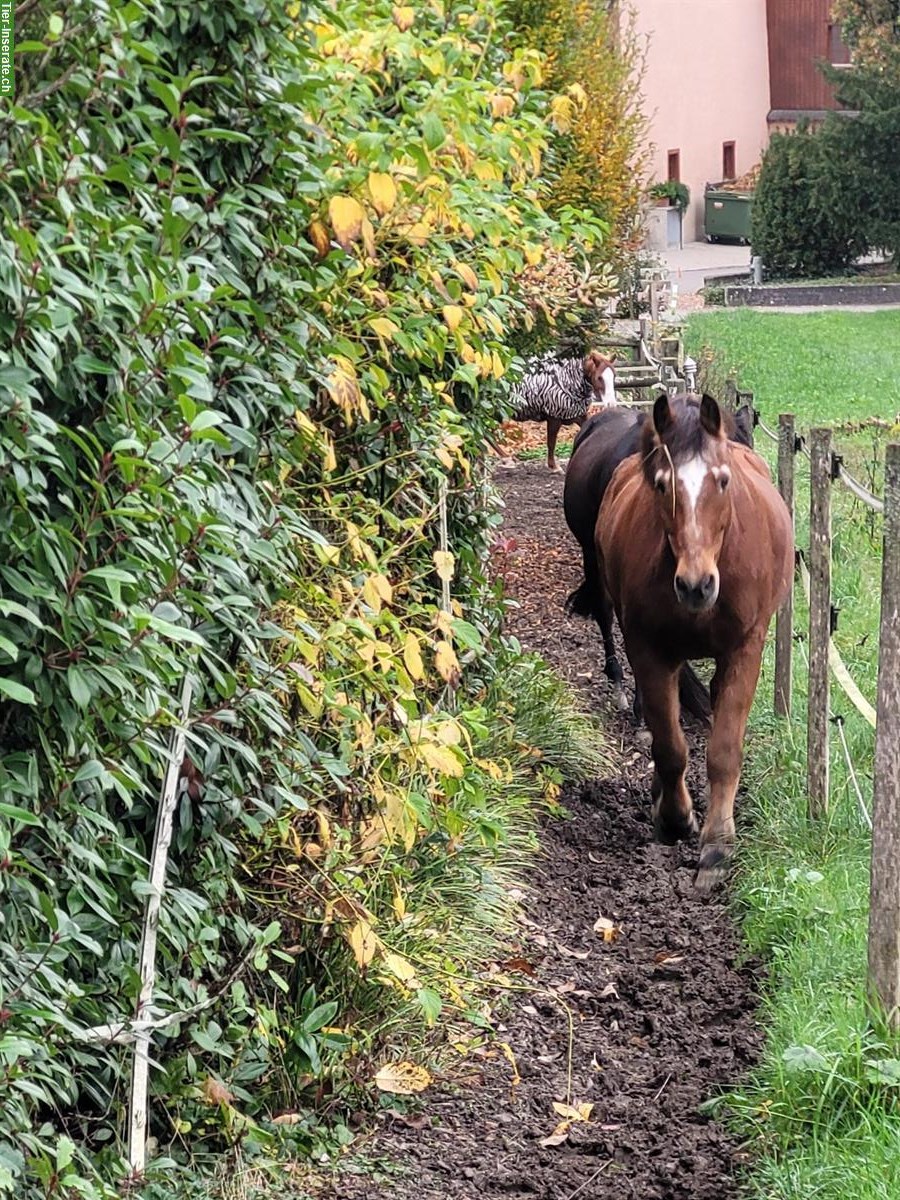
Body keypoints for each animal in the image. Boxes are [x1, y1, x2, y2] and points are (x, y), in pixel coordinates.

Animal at [600, 393, 796, 892]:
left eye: (722, 480)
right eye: (662, 484)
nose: (695, 585)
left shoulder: (745, 650)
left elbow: (724, 750)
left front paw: (717, 849)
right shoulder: (649, 651)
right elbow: (670, 747)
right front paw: (675, 819)